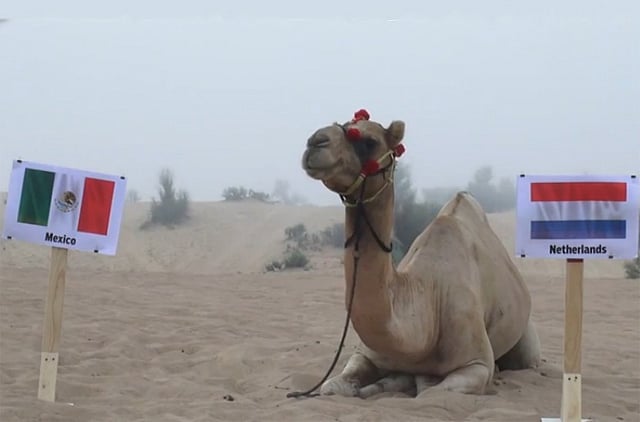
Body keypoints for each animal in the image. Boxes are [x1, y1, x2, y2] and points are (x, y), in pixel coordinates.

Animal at [300, 109, 540, 398]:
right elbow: (330, 386)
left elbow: (431, 392)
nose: (315, 141)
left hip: (525, 337)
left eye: (369, 140)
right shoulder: (364, 354)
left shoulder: (477, 363)